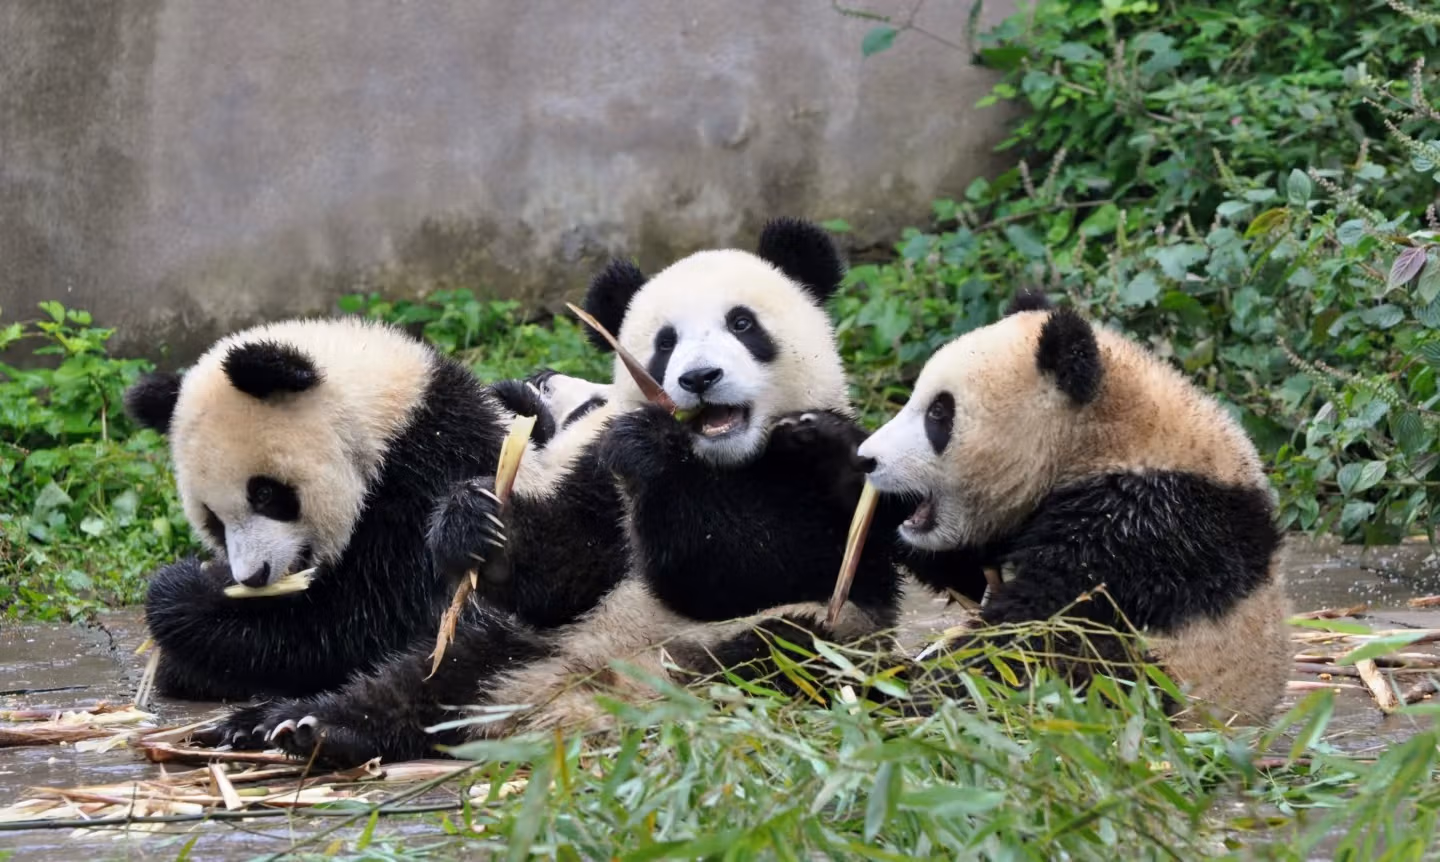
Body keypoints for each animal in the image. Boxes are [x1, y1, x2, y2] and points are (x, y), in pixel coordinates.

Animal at [125, 317, 619, 702]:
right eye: (212, 518)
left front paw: (183, 595)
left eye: (264, 494)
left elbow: (357, 622)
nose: (254, 577)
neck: (383, 417)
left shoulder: (427, 473)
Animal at [197, 218, 911, 765]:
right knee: (428, 673)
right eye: (664, 343)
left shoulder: (835, 482)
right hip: (526, 642)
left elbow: (754, 562)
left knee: (775, 652)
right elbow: (568, 567)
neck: (718, 455)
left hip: (796, 641)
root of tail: (568, 690)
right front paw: (475, 526)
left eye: (743, 324)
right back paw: (305, 725)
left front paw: (655, 458)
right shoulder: (592, 483)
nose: (698, 378)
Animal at [856, 290, 1292, 725]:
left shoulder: (1147, 528)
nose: (869, 459)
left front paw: (920, 694)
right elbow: (967, 573)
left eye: (938, 413)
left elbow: (1038, 621)